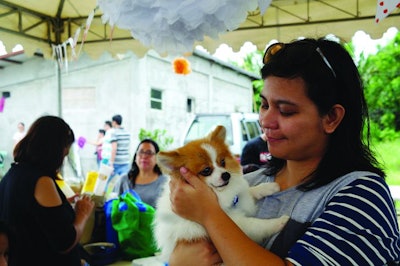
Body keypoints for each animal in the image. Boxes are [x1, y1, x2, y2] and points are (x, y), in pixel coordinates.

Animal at [154, 124, 290, 262]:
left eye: (223, 162)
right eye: (206, 170)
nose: (226, 175)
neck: (221, 195)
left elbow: (249, 190)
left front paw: (269, 187)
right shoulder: (238, 223)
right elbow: (258, 224)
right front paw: (280, 221)